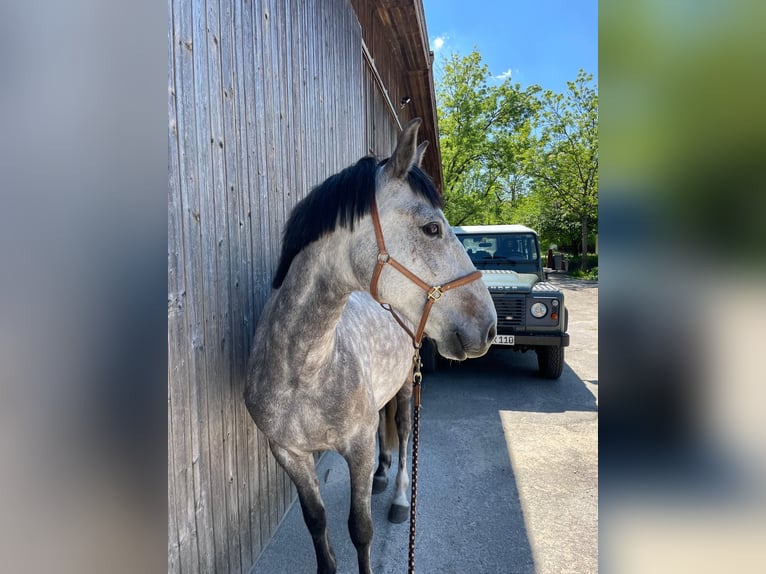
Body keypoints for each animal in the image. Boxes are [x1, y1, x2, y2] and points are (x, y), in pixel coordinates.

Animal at [246, 119, 498, 572]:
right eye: (431, 228)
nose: (488, 327)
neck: (303, 370)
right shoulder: (289, 453)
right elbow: (316, 521)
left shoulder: (357, 449)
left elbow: (360, 529)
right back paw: (382, 476)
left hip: (407, 386)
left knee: (402, 431)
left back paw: (397, 496)